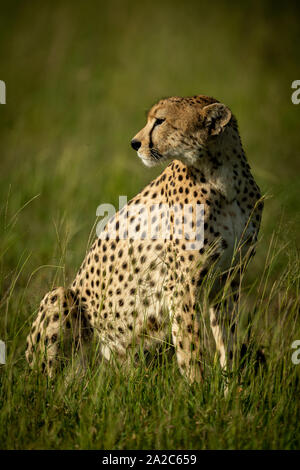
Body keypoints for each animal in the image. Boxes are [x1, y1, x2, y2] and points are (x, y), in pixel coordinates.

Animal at [25, 94, 262, 382]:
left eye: (160, 121)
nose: (135, 143)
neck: (223, 179)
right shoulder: (181, 284)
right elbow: (189, 348)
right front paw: (198, 389)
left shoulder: (228, 280)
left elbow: (227, 342)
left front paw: (231, 388)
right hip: (62, 302)